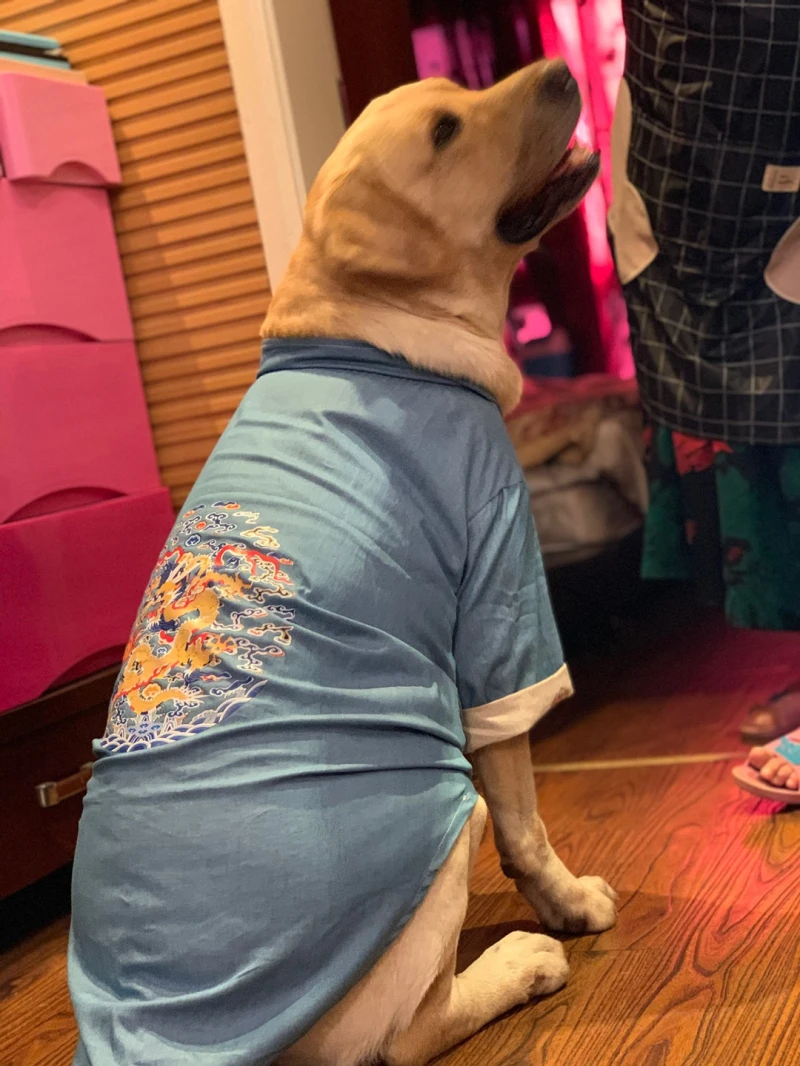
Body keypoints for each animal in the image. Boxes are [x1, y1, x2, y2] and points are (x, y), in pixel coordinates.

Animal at [68, 59, 616, 1066]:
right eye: (444, 131)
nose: (563, 70)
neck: (366, 332)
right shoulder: (501, 591)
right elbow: (528, 818)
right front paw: (571, 907)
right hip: (446, 815)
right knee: (409, 1033)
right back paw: (521, 962)